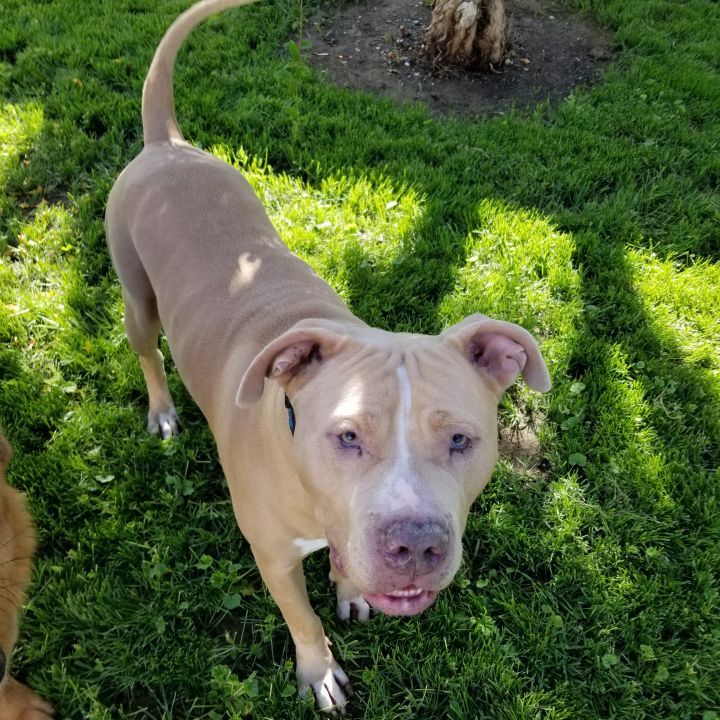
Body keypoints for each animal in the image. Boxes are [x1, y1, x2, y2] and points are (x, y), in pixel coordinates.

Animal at [104, 0, 548, 708]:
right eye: (346, 437)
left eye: (461, 440)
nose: (414, 547)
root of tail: (165, 146)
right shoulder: (273, 556)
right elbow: (303, 617)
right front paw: (319, 672)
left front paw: (349, 592)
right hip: (137, 298)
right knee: (147, 352)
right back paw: (164, 411)